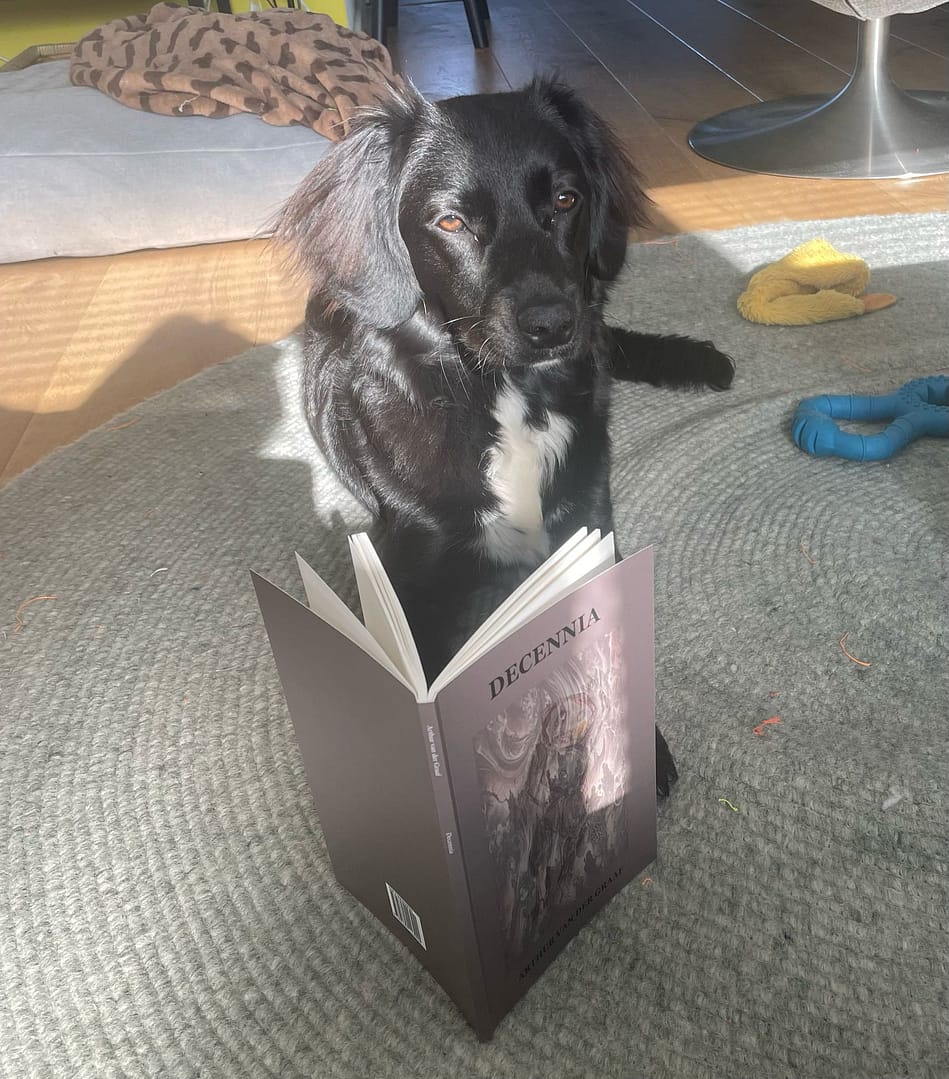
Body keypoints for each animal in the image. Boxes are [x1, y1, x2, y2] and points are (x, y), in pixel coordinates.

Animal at [277, 78, 734, 796]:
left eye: (566, 200)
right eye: (450, 222)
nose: (553, 324)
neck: (509, 398)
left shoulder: (588, 529)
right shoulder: (411, 581)